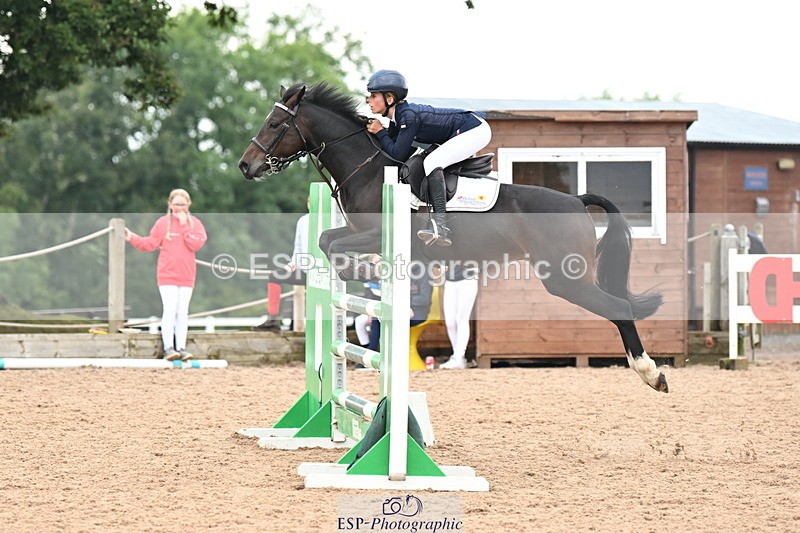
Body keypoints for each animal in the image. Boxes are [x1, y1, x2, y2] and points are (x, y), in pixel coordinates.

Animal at [238, 82, 669, 393]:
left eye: (274, 125)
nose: (246, 165)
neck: (367, 168)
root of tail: (577, 200)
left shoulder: (375, 233)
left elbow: (335, 245)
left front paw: (365, 272)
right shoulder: (360, 231)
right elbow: (327, 239)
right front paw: (359, 274)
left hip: (565, 279)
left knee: (619, 308)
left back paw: (651, 373)